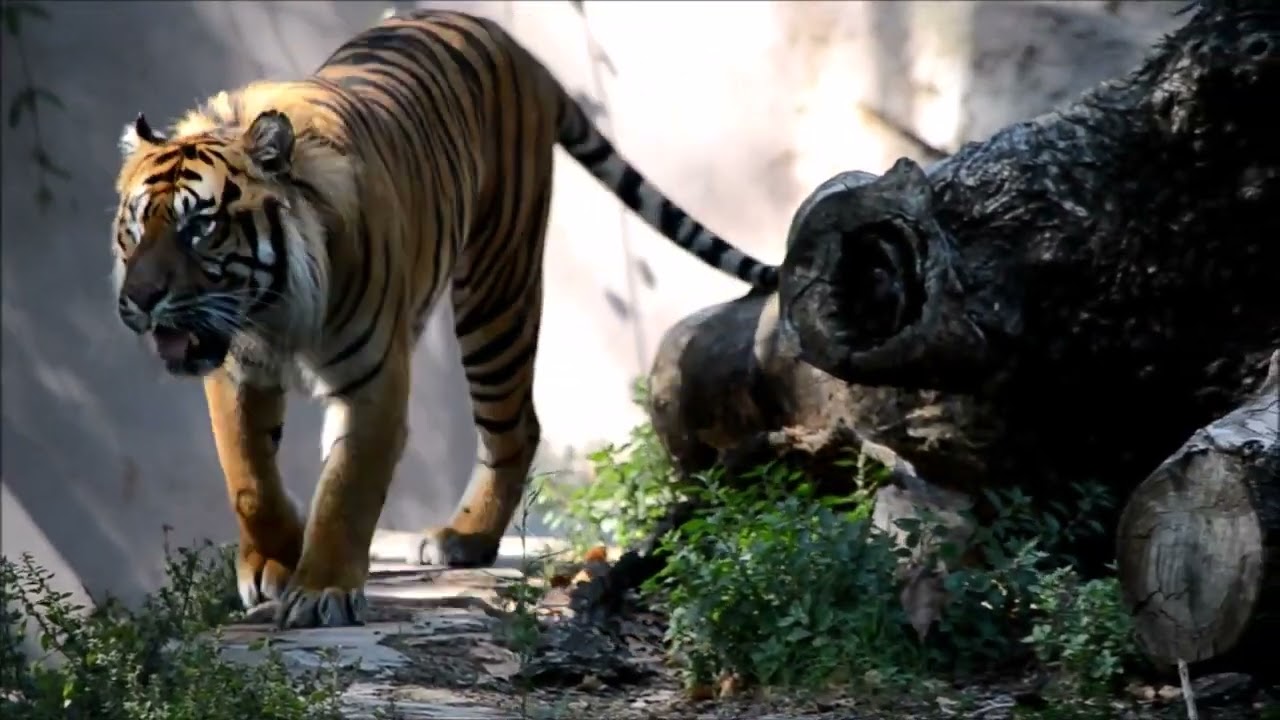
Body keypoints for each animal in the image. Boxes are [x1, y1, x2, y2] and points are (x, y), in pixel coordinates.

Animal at [110, 9, 778, 629]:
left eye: (201, 227)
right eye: (137, 227)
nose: (138, 300)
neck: (271, 311)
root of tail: (515, 45)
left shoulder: (374, 379)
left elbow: (348, 487)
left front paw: (322, 590)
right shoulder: (239, 373)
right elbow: (249, 477)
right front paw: (272, 564)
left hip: (495, 291)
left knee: (516, 426)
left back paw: (466, 537)